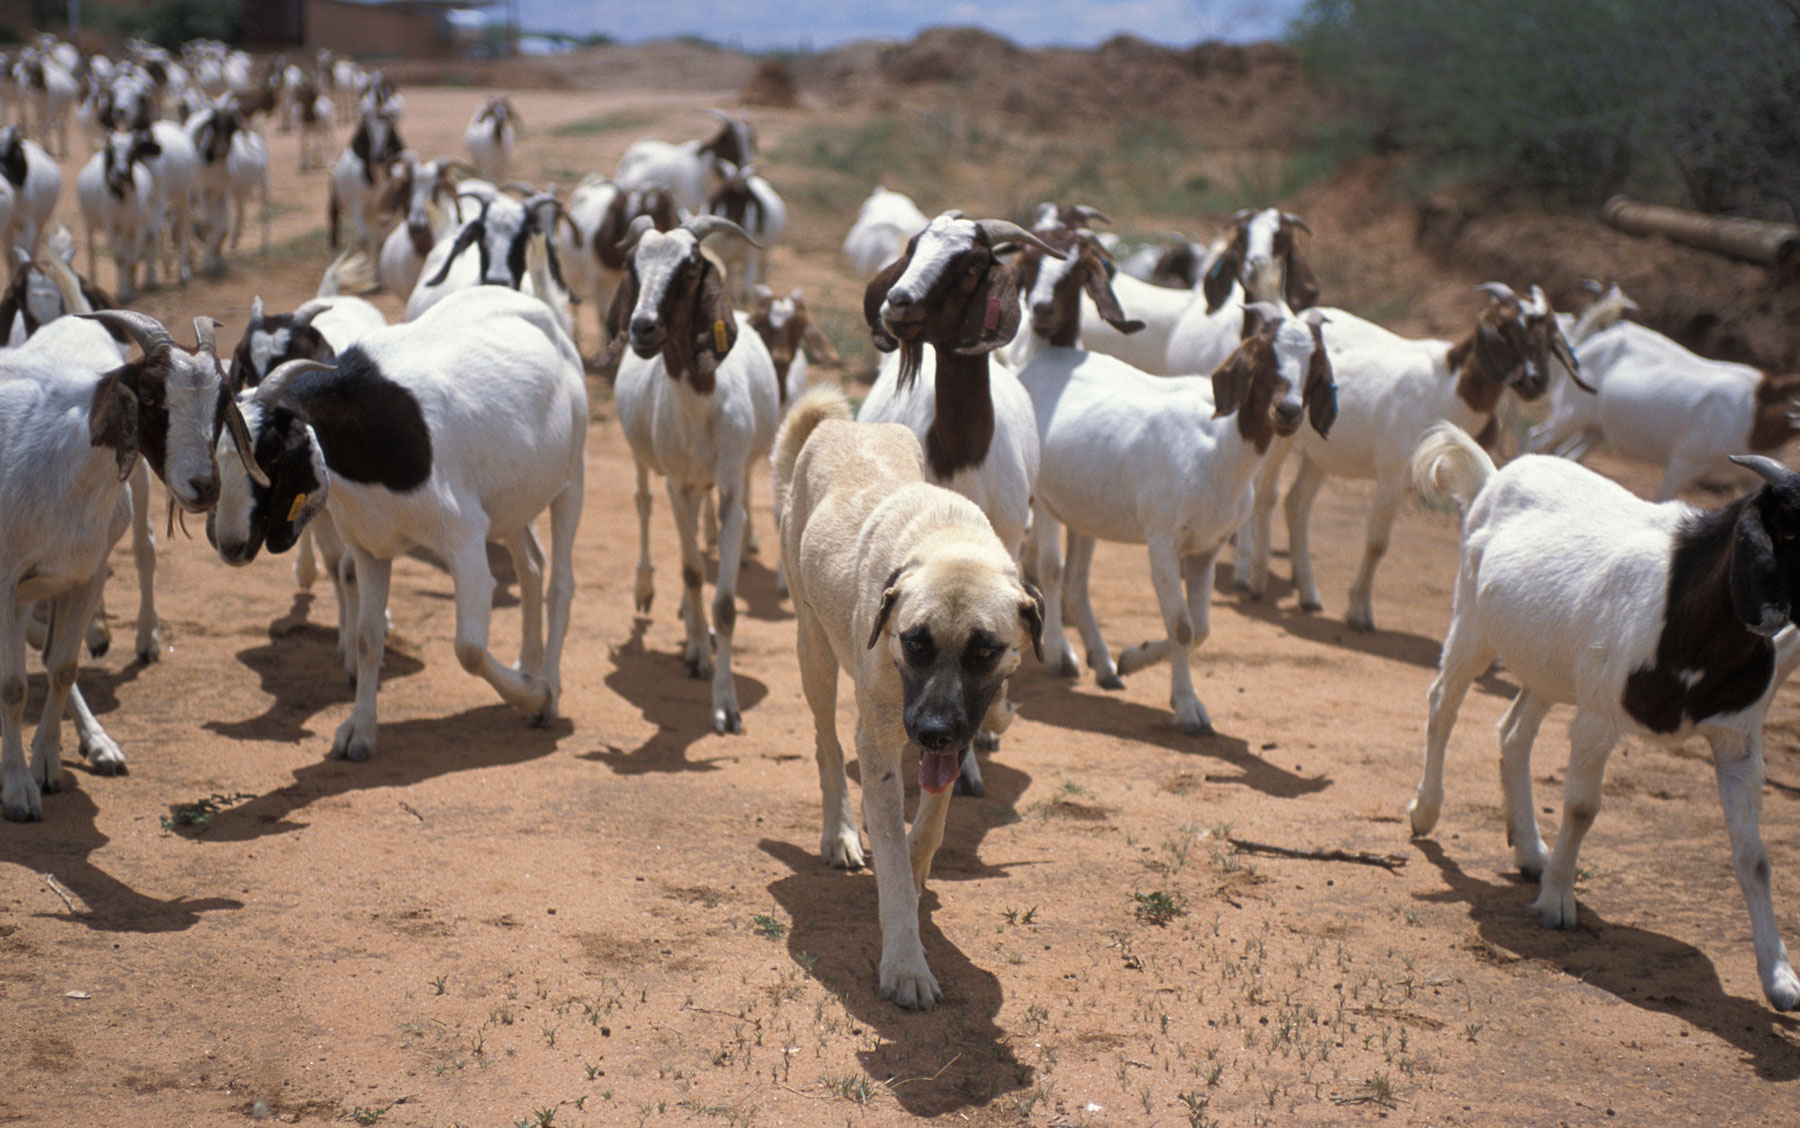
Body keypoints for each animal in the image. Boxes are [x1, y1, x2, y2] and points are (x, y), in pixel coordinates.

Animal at [0, 311, 262, 820]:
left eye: (220, 403)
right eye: (149, 397)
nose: (204, 486)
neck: (60, 467)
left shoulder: (84, 575)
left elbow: (62, 667)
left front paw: (46, 765)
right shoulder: (5, 584)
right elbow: (13, 685)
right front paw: (17, 789)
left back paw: (98, 744)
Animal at [207, 286, 583, 762]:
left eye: (271, 451)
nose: (231, 544)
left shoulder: (464, 539)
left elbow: (469, 649)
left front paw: (535, 697)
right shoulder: (371, 548)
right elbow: (368, 637)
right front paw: (359, 730)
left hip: (571, 476)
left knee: (561, 583)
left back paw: (547, 685)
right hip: (511, 502)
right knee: (531, 564)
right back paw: (529, 664)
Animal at [770, 388, 1051, 1014]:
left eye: (984, 650)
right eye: (914, 641)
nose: (933, 729)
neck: (946, 540)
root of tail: (843, 427)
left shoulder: (953, 733)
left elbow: (928, 824)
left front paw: (921, 862)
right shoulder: (878, 739)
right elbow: (894, 867)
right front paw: (905, 964)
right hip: (812, 649)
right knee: (826, 745)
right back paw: (841, 833)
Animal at [1404, 426, 1800, 1014]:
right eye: (1793, 528)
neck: (1681, 615)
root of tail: (1493, 476)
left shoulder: (1738, 742)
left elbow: (1755, 858)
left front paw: (1780, 978)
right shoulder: (1598, 716)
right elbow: (1582, 808)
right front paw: (1556, 904)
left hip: (1548, 663)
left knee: (1514, 732)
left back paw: (1530, 852)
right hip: (1472, 621)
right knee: (1442, 705)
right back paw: (1426, 813)